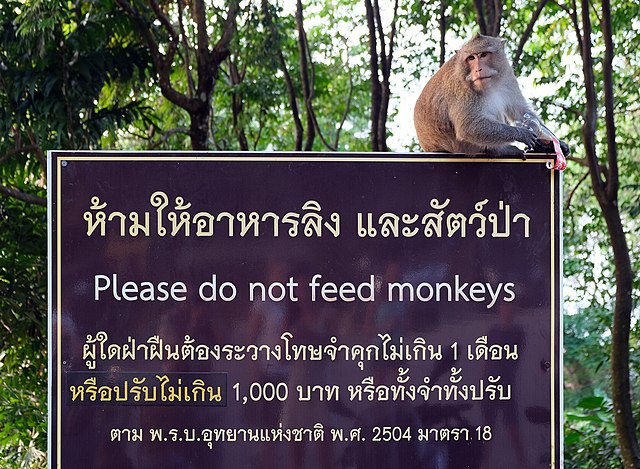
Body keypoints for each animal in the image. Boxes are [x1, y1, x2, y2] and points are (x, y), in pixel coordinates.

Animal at [412, 33, 568, 157]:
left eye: (483, 55)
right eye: (471, 58)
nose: (478, 69)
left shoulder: (507, 76)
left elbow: (521, 111)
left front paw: (554, 142)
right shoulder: (461, 89)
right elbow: (468, 127)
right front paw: (522, 133)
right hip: (462, 146)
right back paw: (498, 150)